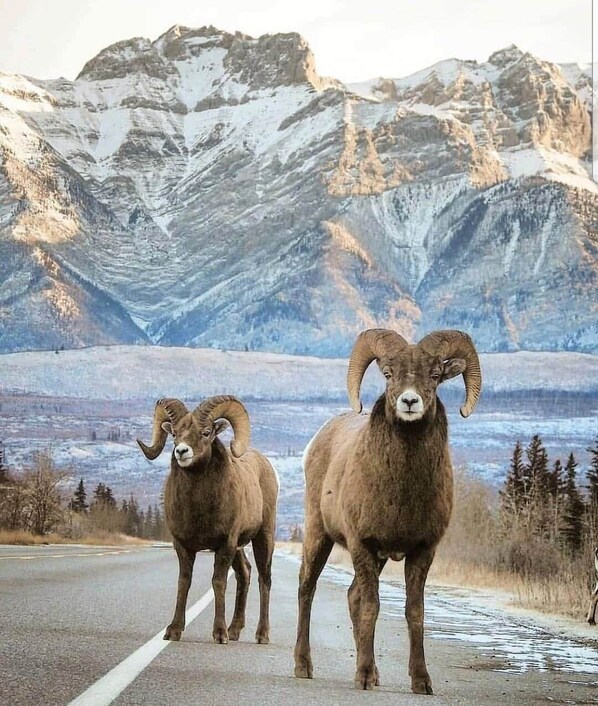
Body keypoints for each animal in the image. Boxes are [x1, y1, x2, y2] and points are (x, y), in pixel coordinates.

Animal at [137, 395, 278, 645]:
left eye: (205, 432)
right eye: (174, 433)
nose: (182, 451)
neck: (199, 508)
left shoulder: (224, 545)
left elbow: (218, 583)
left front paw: (219, 634)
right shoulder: (183, 546)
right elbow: (184, 582)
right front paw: (173, 631)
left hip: (263, 538)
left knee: (264, 580)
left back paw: (261, 635)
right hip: (239, 548)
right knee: (245, 574)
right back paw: (235, 631)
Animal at [294, 328, 482, 694]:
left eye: (435, 375)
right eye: (389, 374)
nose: (409, 402)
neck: (402, 493)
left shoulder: (422, 551)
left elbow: (414, 612)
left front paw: (421, 681)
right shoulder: (362, 545)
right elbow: (371, 606)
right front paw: (364, 678)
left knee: (351, 596)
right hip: (318, 536)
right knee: (307, 589)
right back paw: (303, 666)